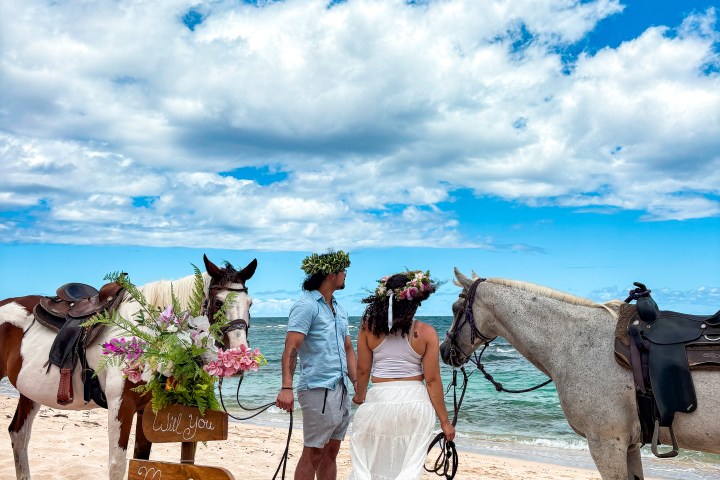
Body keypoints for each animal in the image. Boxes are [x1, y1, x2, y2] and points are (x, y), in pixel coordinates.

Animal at [0, 254, 257, 480]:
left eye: (250, 303)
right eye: (218, 302)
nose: (240, 355)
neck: (146, 331)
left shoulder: (147, 409)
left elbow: (141, 460)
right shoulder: (120, 405)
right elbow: (117, 465)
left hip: (30, 392)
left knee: (19, 434)